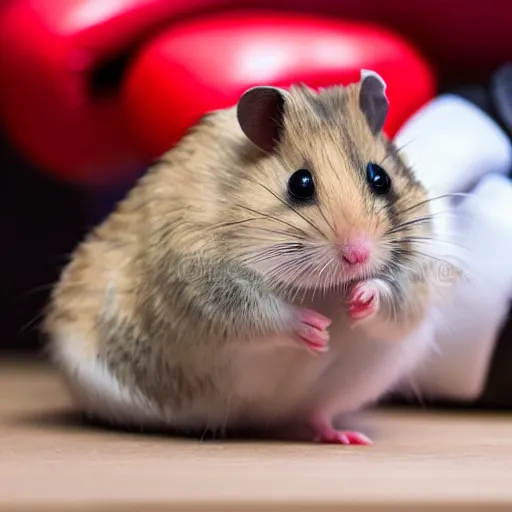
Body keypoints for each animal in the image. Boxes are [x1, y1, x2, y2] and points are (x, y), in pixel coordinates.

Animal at [43, 70, 456, 446]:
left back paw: (346, 437)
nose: (358, 254)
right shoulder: (201, 282)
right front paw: (317, 329)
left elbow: (396, 304)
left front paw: (358, 300)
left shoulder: (416, 281)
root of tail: (262, 420)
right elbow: (260, 313)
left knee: (317, 413)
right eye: (299, 183)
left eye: (380, 178)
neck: (322, 287)